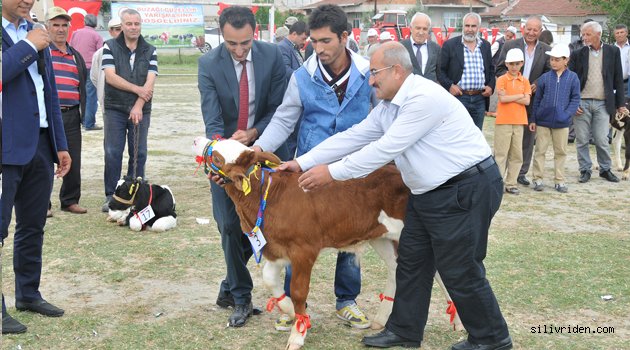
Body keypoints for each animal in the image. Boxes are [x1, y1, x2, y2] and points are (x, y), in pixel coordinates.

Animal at [194, 138, 464, 348]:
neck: (266, 198)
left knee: (437, 271)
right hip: (382, 237)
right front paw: (291, 312)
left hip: (411, 231)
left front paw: (298, 334)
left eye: (217, 156)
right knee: (396, 268)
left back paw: (459, 322)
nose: (198, 140)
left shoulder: (304, 249)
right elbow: (271, 281)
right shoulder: (275, 248)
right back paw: (381, 319)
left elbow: (299, 291)